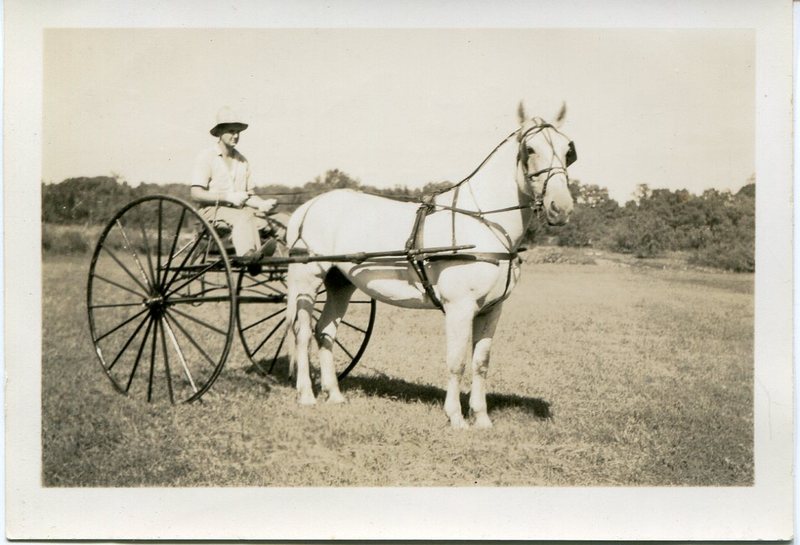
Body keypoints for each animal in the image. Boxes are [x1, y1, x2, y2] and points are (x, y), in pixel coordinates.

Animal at [284, 105, 572, 430]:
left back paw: (334, 394)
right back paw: (307, 394)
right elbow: (457, 361)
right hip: (308, 278)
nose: (561, 207)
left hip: (340, 283)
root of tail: (307, 207)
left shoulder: (492, 309)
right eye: (530, 149)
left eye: (568, 150)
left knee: (325, 331)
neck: (483, 222)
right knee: (303, 332)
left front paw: (481, 418)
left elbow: (480, 363)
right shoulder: (460, 307)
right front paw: (456, 417)